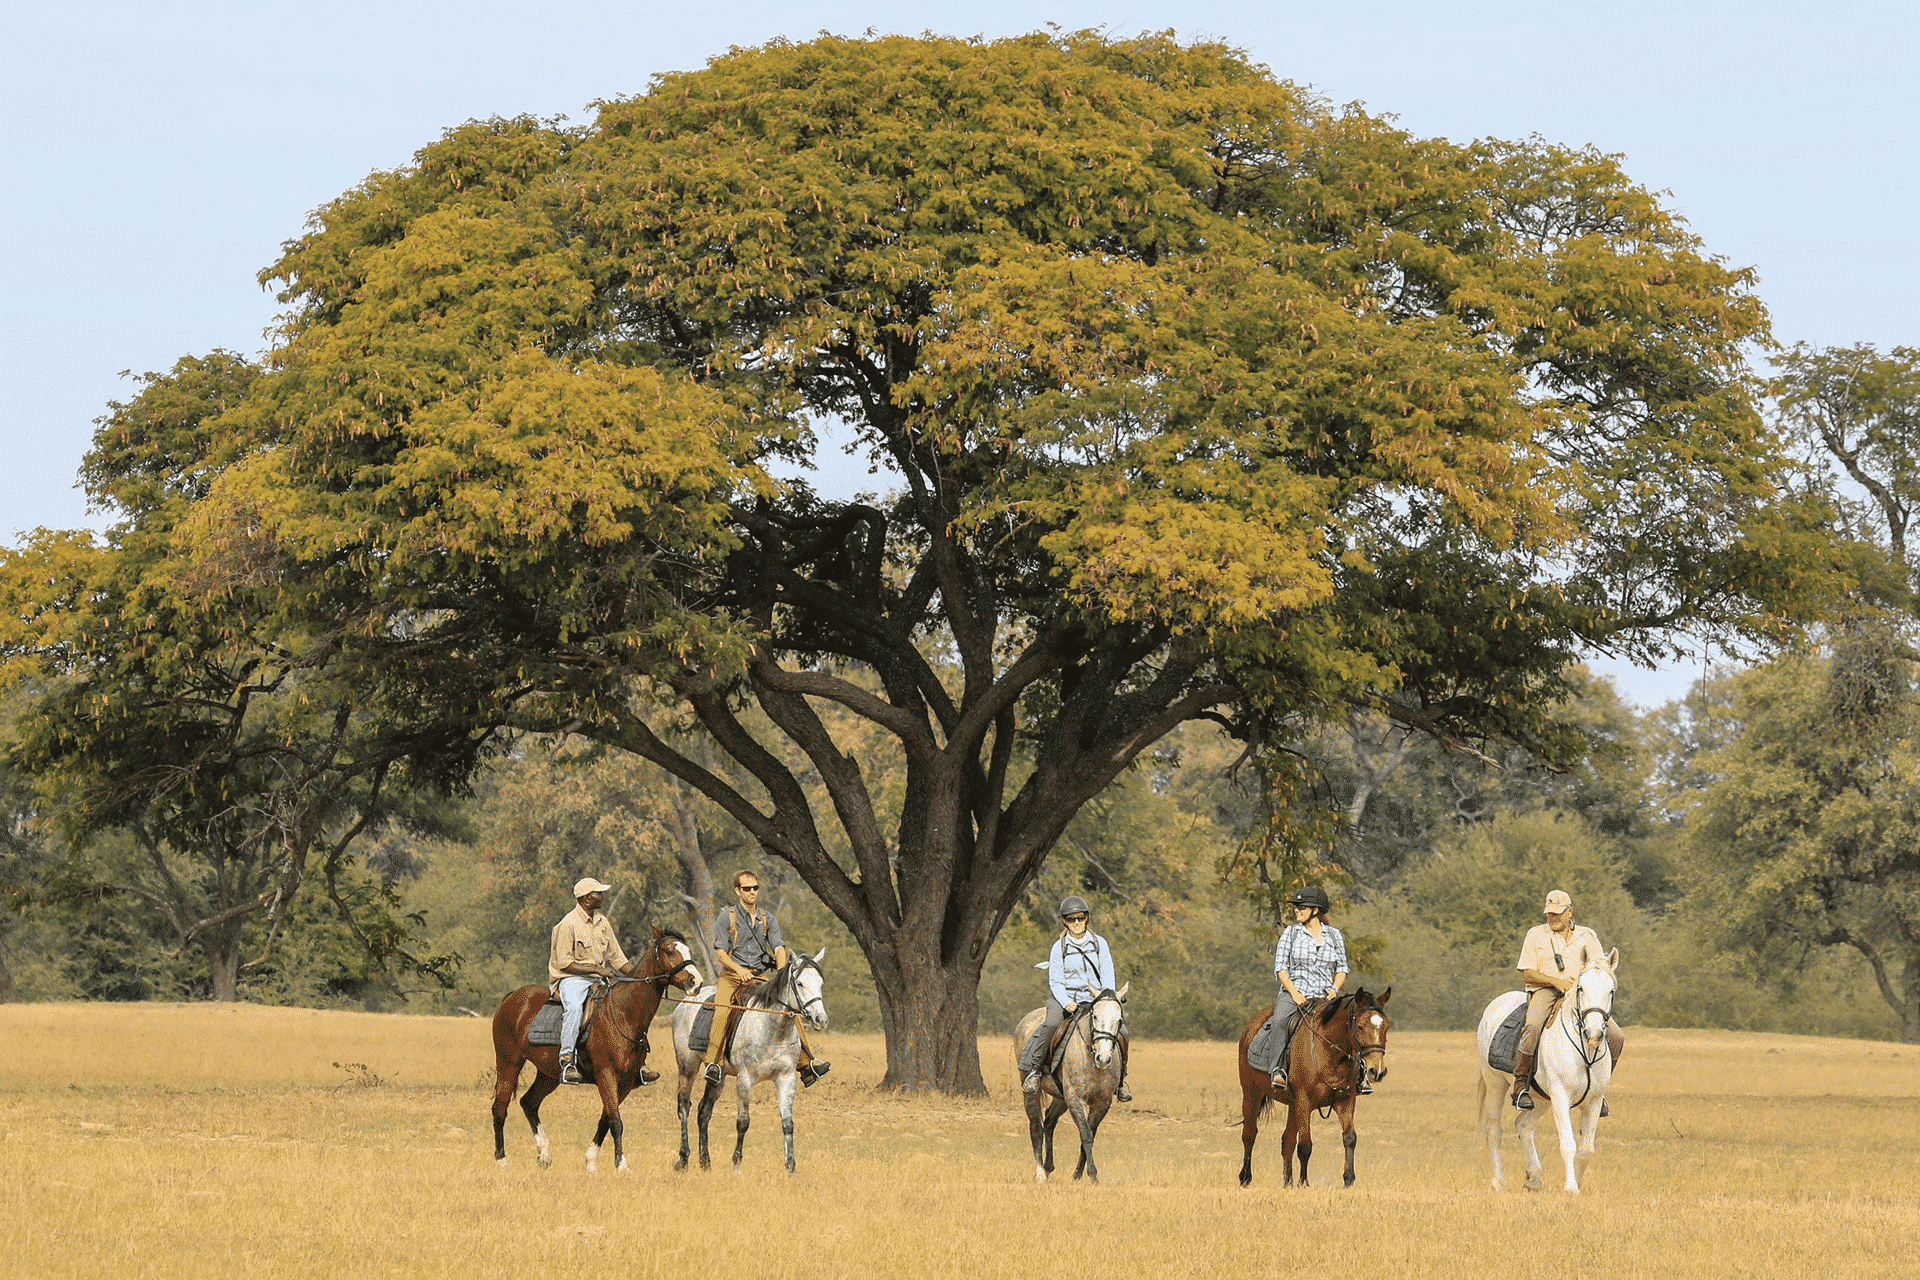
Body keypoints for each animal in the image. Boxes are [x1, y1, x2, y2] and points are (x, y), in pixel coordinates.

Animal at [491, 924, 702, 1174]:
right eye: (670, 951)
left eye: (688, 950)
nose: (696, 982)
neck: (623, 1012)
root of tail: (510, 999)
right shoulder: (606, 1074)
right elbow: (615, 1121)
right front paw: (622, 1166)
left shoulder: (626, 1081)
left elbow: (606, 1119)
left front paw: (591, 1161)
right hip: (508, 1063)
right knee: (500, 1108)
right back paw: (502, 1161)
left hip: (548, 1074)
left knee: (529, 1103)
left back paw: (544, 1155)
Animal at [675, 948, 825, 1174]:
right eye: (799, 983)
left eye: (820, 982)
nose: (821, 1020)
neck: (772, 1030)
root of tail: (684, 1003)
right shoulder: (745, 1079)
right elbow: (743, 1122)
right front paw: (736, 1164)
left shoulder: (786, 1078)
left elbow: (787, 1123)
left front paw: (791, 1166)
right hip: (687, 1067)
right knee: (684, 1106)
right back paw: (683, 1159)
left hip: (718, 1076)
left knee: (703, 1112)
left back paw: (705, 1162)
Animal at [1006, 990, 1121, 1189]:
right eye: (1095, 1016)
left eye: (1119, 1020)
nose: (1104, 1058)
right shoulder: (1075, 1099)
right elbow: (1086, 1134)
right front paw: (1092, 1175)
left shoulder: (1102, 1103)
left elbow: (1089, 1135)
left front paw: (1078, 1174)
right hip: (1031, 1092)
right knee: (1036, 1126)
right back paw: (1040, 1173)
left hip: (1061, 1098)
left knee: (1049, 1120)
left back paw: (1048, 1166)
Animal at [1236, 990, 1390, 1189]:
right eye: (1360, 1026)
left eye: (1386, 1026)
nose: (1376, 1071)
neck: (1330, 1053)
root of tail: (1251, 1026)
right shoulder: (1304, 1100)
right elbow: (1305, 1145)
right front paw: (1304, 1183)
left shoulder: (1345, 1101)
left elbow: (1350, 1138)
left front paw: (1348, 1179)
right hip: (1252, 1093)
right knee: (1249, 1134)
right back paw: (1245, 1177)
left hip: (1292, 1104)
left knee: (1287, 1140)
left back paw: (1287, 1183)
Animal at [1474, 948, 1612, 1197]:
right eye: (1581, 988)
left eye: (1611, 990)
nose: (1594, 1033)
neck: (1584, 1051)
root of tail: (1496, 1003)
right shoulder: (1560, 1095)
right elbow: (1568, 1143)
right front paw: (1570, 1188)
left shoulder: (1594, 1101)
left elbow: (1586, 1150)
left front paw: (1577, 1183)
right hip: (1495, 1083)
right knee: (1494, 1130)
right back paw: (1499, 1182)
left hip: (1540, 1098)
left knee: (1524, 1125)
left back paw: (1534, 1178)